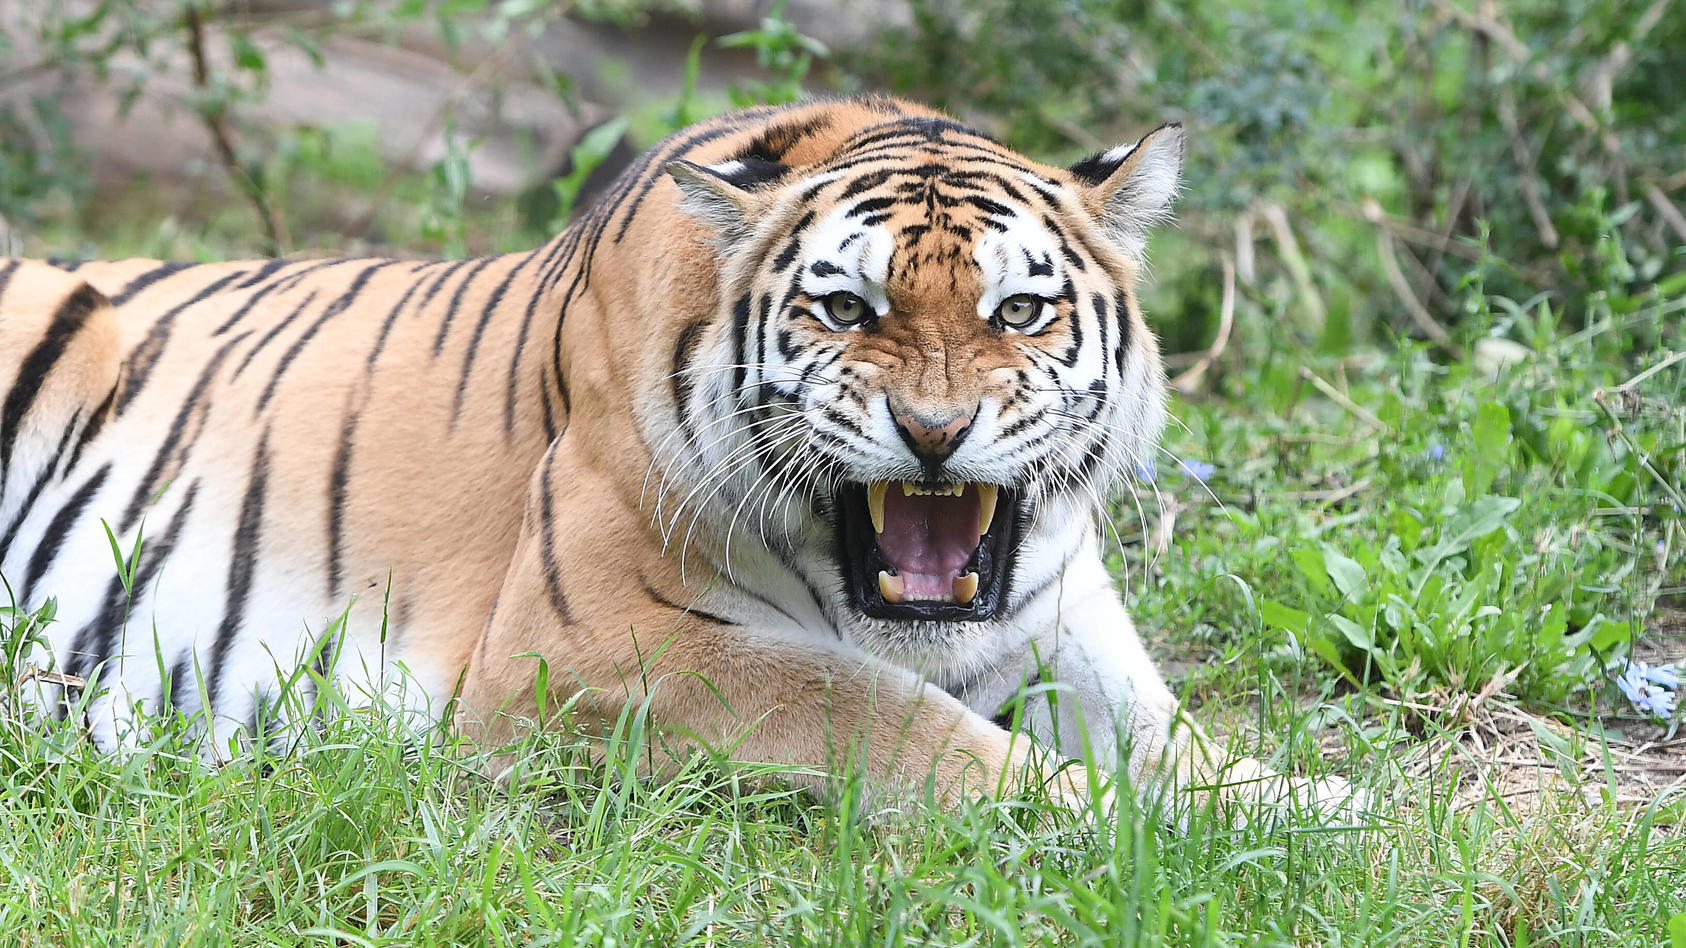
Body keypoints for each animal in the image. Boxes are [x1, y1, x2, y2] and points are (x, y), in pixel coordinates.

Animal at [0, 94, 1342, 802]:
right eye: (845, 308)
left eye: (1019, 311)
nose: (934, 434)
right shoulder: (588, 647)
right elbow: (892, 718)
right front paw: (1126, 820)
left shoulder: (1066, 627)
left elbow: (1192, 748)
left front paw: (1326, 812)